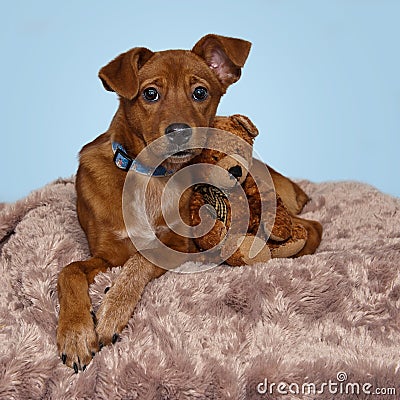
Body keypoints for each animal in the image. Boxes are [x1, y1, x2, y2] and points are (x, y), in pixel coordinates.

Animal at [56, 34, 318, 372]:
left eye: (200, 92)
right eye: (150, 93)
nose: (179, 133)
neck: (151, 176)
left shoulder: (177, 244)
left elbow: (141, 258)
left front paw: (112, 309)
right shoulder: (104, 255)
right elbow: (69, 271)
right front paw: (75, 333)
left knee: (309, 227)